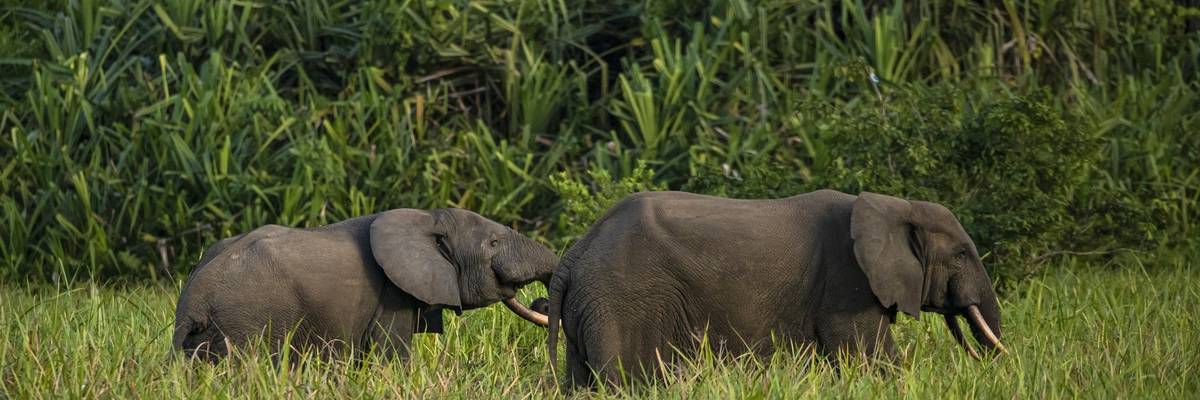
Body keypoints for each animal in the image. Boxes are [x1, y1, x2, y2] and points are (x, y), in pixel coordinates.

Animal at [173, 208, 555, 361]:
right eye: (493, 243)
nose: (541, 302)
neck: (427, 218)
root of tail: (192, 303)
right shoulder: (391, 295)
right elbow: (392, 355)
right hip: (245, 324)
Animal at [546, 190, 1006, 388]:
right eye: (962, 253)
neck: (894, 205)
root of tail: (574, 256)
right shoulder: (847, 284)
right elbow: (870, 357)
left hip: (590, 307)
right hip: (620, 302)